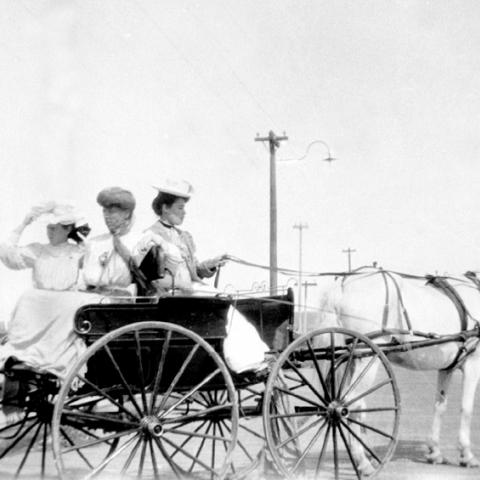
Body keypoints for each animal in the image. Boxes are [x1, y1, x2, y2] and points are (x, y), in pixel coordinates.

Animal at [306, 268, 480, 474]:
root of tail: (344, 282)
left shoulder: (447, 368)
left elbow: (440, 406)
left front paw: (434, 452)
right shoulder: (473, 362)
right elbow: (466, 408)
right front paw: (466, 455)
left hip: (351, 360)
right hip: (367, 359)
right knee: (351, 405)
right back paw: (363, 463)